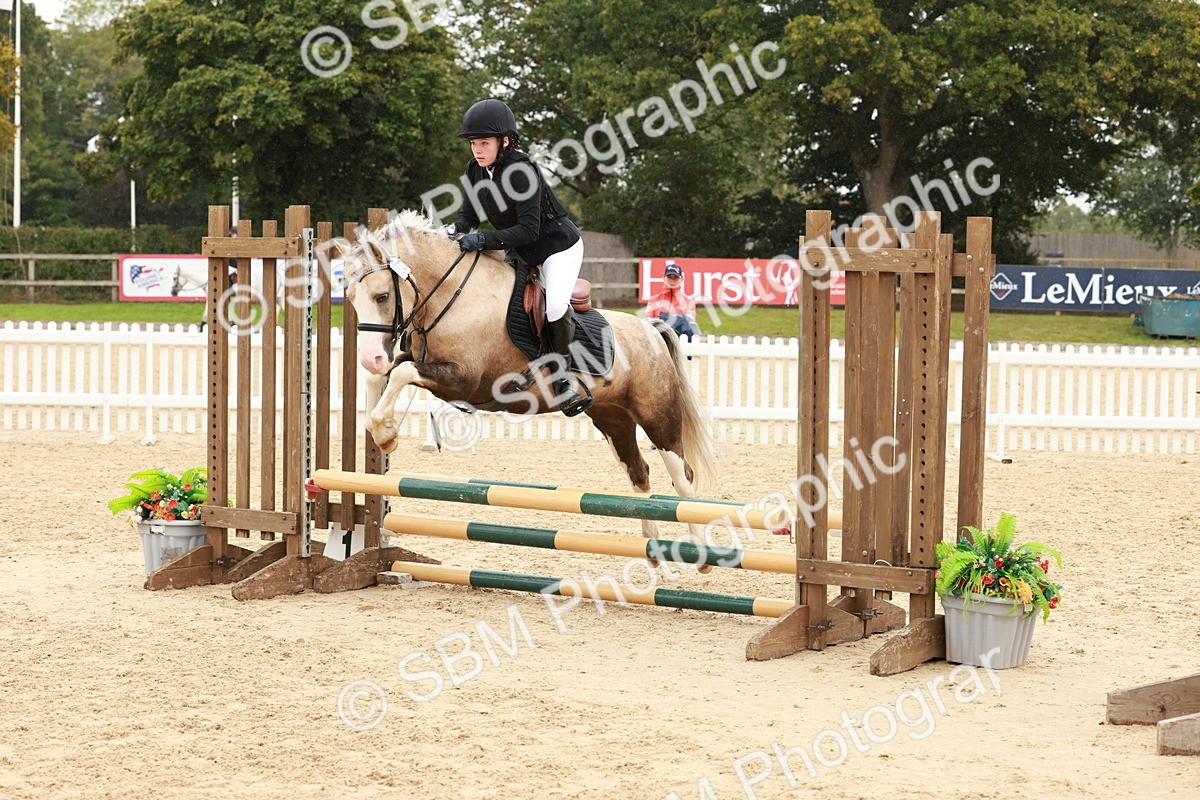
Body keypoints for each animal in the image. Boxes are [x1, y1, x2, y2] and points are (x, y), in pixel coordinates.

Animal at [341, 210, 719, 538]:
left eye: (382, 295)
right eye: (350, 297)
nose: (372, 357)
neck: (453, 295)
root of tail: (651, 328)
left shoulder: (463, 381)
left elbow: (402, 373)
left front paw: (385, 434)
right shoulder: (426, 365)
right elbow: (386, 376)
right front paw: (383, 434)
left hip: (657, 416)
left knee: (683, 474)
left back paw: (697, 550)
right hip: (613, 418)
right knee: (638, 470)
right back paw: (652, 545)